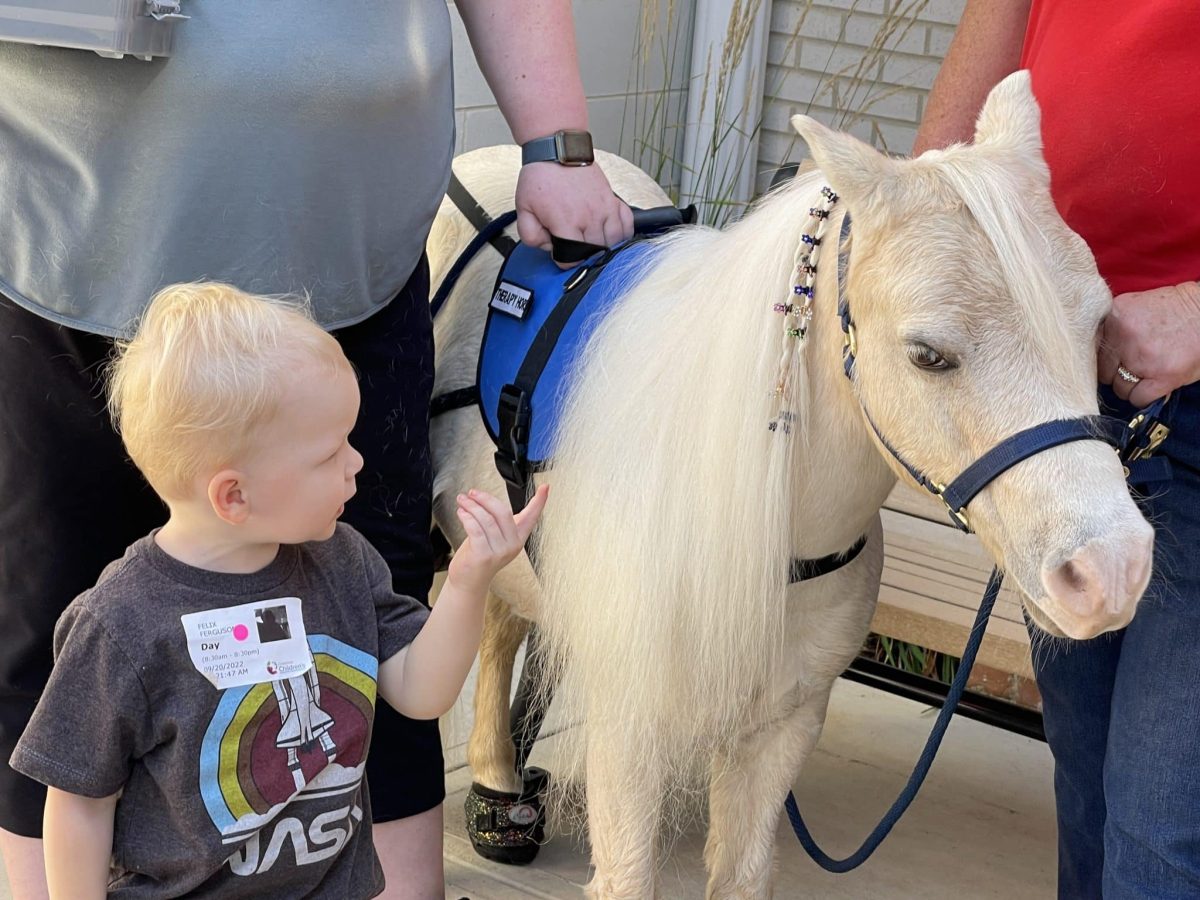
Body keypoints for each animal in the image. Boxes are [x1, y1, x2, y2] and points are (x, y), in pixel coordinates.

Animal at [425, 71, 1154, 898]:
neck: (765, 524)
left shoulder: (785, 723)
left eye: (1100, 326)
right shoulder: (628, 728)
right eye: (927, 354)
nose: (1111, 571)